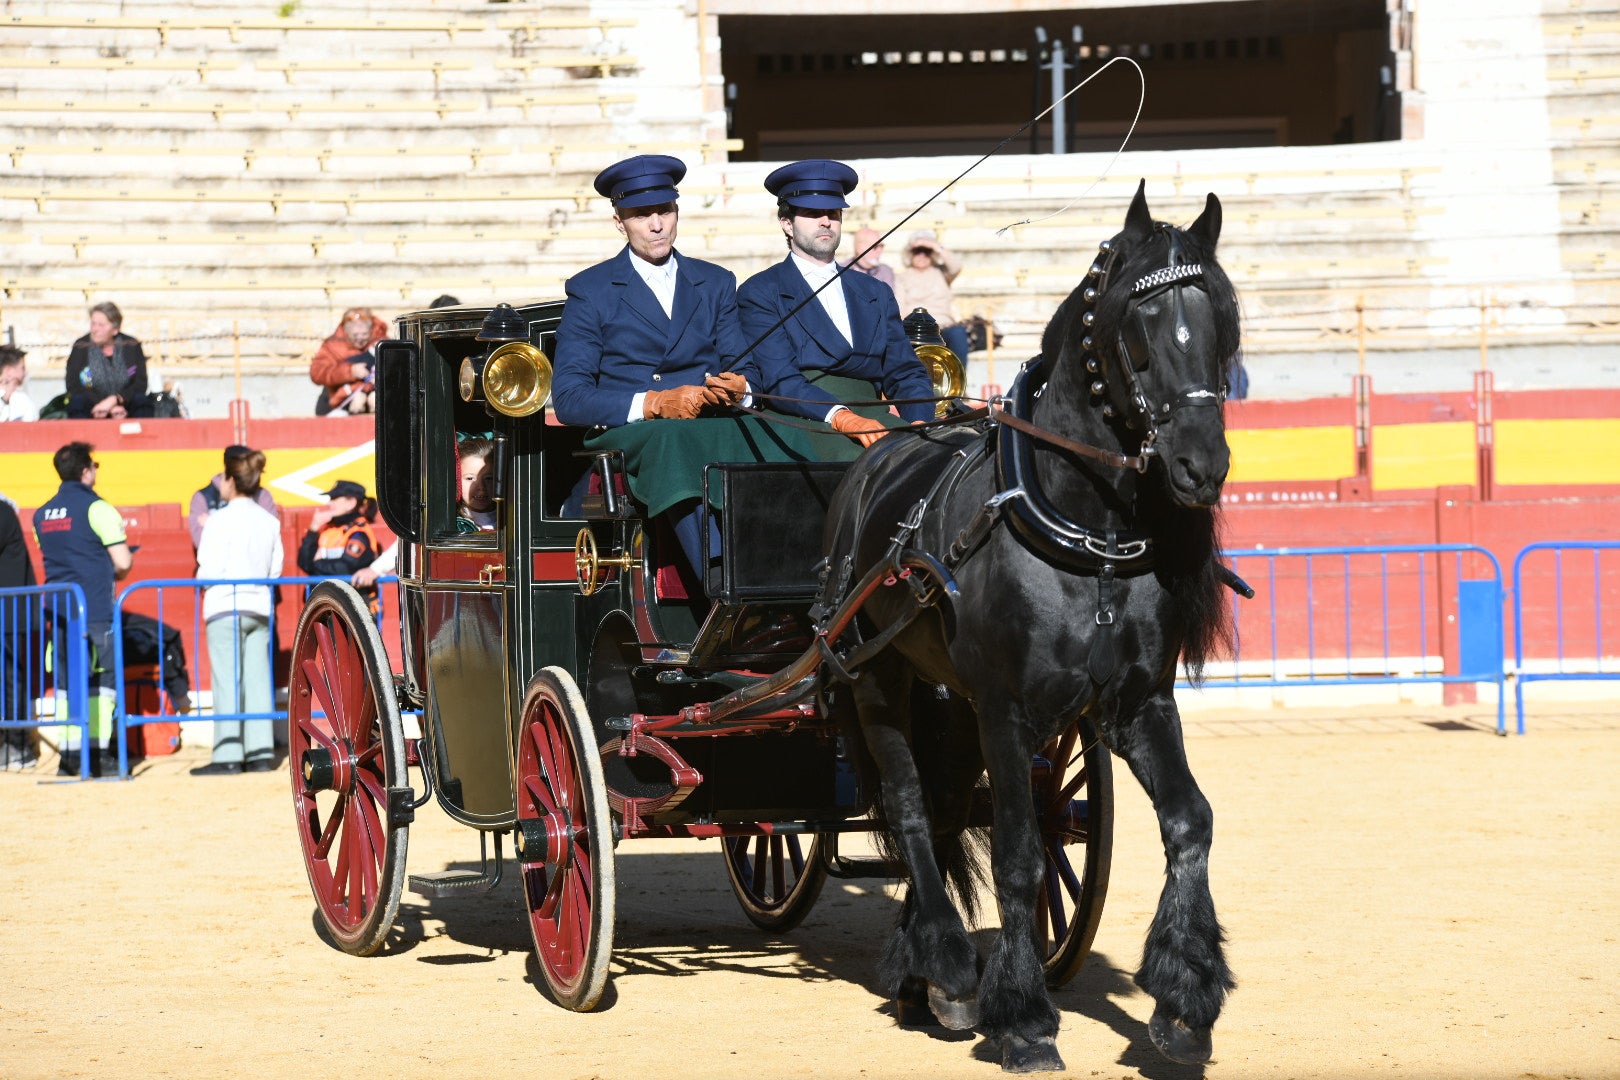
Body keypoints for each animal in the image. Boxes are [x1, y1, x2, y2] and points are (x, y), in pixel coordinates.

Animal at [822, 183, 1237, 1075]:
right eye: (1138, 323)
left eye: (1220, 318)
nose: (1202, 465)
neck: (1090, 542)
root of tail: (874, 458)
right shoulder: (1006, 710)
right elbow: (1015, 853)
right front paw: (1022, 1019)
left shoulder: (1136, 705)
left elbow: (1190, 820)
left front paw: (1184, 999)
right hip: (877, 679)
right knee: (912, 806)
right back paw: (948, 966)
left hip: (949, 700)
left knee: (946, 811)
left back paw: (924, 975)